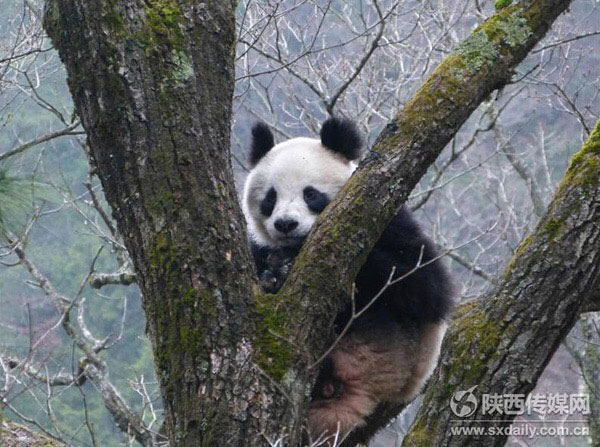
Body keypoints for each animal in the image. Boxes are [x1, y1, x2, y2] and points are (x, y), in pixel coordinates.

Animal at [241, 117, 452, 442]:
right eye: (270, 198)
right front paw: (273, 274)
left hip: (389, 353)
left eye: (310, 194)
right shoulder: (258, 245)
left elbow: (426, 288)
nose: (286, 224)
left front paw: (286, 264)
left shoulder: (391, 223)